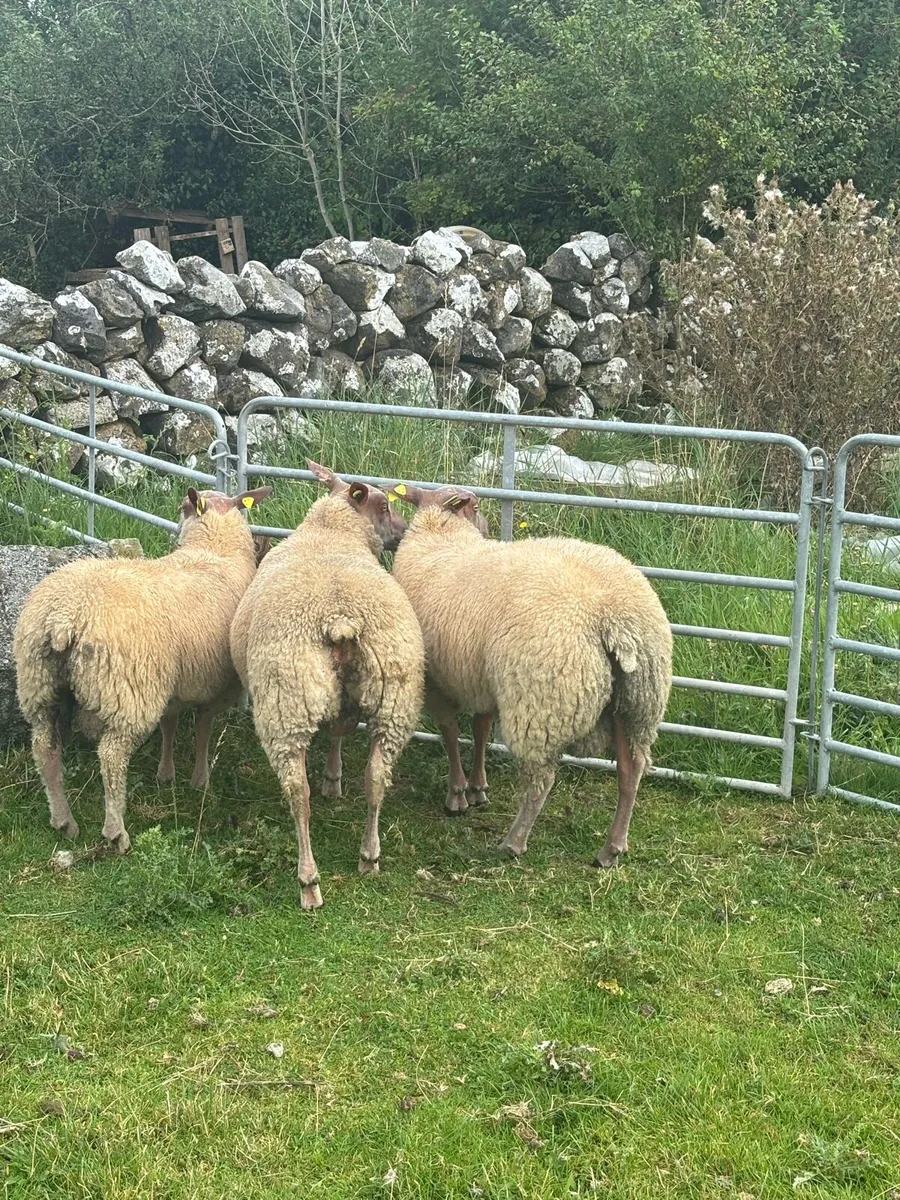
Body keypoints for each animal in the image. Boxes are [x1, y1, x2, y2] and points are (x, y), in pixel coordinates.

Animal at [13, 485, 273, 852]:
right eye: (182, 508)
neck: (214, 551)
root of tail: (64, 617)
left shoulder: (174, 681)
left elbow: (170, 724)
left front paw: (167, 774)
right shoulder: (214, 685)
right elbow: (204, 728)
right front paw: (200, 779)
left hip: (39, 684)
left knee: (45, 747)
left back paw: (63, 821)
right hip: (128, 692)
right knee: (111, 757)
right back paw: (115, 832)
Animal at [230, 460, 425, 910]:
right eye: (385, 505)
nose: (404, 531)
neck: (332, 531)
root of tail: (339, 618)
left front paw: (330, 781)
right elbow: (338, 730)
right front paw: (334, 780)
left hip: (286, 704)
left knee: (297, 795)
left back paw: (309, 882)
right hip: (393, 700)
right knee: (376, 779)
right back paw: (369, 857)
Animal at [390, 483, 673, 865]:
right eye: (476, 506)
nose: (488, 527)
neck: (440, 534)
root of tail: (616, 620)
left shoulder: (437, 682)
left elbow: (450, 734)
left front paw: (457, 794)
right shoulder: (484, 680)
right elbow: (480, 730)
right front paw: (477, 787)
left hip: (540, 705)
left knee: (542, 781)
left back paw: (514, 841)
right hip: (638, 703)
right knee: (632, 770)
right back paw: (611, 848)